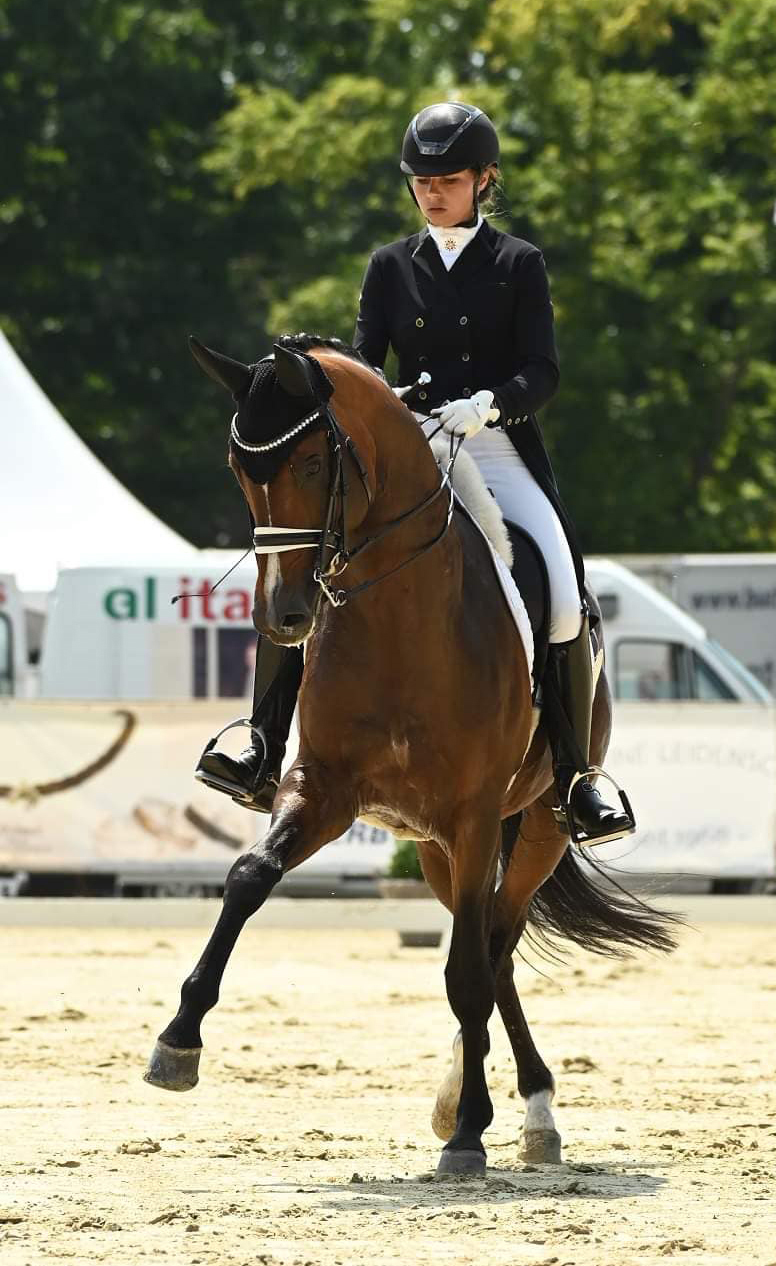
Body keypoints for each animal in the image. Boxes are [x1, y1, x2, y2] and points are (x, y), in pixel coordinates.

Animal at [145, 334, 678, 1174]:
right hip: (431, 848)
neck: (398, 610)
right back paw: (484, 1098)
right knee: (489, 950)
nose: (282, 618)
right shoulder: (324, 792)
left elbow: (465, 969)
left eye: (310, 463)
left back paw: (526, 1111)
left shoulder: (474, 814)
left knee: (491, 946)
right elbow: (249, 878)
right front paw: (177, 1042)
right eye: (239, 468)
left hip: (535, 826)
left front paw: (469, 1132)